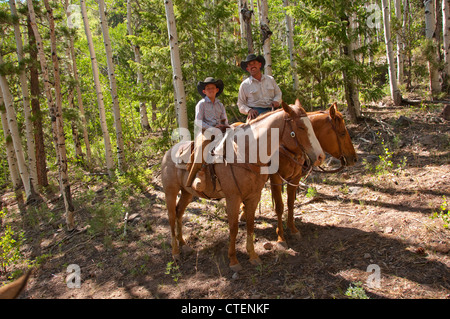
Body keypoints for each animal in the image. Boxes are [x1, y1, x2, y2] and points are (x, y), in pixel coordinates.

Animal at [161, 103, 324, 272]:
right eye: (300, 127)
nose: (320, 157)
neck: (245, 154)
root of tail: (168, 152)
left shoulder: (254, 196)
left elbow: (251, 224)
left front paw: (253, 256)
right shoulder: (233, 198)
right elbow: (233, 227)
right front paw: (233, 260)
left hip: (187, 193)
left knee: (179, 213)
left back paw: (184, 244)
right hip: (170, 192)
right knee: (172, 216)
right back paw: (175, 251)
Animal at [241, 100, 356, 248]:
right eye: (342, 133)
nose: (354, 159)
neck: (287, 148)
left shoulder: (295, 178)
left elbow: (290, 203)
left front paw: (293, 229)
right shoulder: (276, 178)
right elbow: (279, 206)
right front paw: (281, 237)